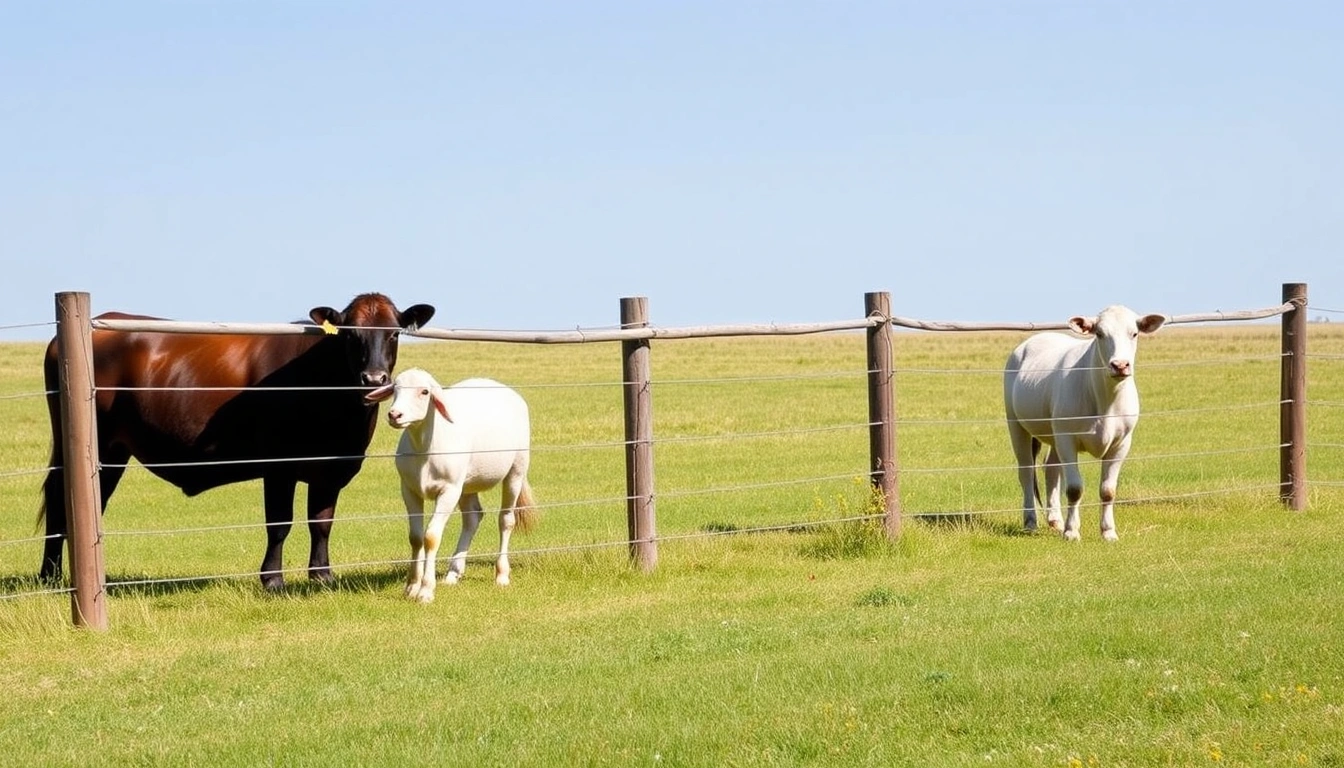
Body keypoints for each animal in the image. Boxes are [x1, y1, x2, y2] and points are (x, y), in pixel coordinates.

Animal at [38, 293, 435, 590]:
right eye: (350, 334)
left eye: (394, 333)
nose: (374, 378)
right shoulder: (278, 467)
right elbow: (279, 524)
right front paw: (272, 580)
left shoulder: (333, 468)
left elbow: (321, 522)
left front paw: (322, 576)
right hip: (92, 445)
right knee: (61, 501)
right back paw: (50, 577)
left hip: (113, 452)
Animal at [365, 368, 536, 603]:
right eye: (396, 389)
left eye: (425, 392)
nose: (395, 415)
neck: (425, 450)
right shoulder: (409, 489)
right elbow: (415, 537)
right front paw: (411, 586)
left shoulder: (448, 491)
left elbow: (431, 537)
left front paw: (426, 590)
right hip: (467, 483)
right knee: (473, 517)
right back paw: (454, 572)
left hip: (516, 470)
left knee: (506, 520)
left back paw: (501, 575)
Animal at [1003, 305, 1166, 541]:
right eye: (1100, 333)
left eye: (1134, 333)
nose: (1120, 365)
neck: (1105, 400)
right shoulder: (1067, 439)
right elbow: (1074, 488)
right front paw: (1072, 531)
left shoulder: (1121, 443)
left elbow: (1108, 490)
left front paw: (1108, 532)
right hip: (1017, 425)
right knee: (1026, 471)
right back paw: (1031, 521)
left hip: (1054, 433)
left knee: (1051, 468)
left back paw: (1055, 520)